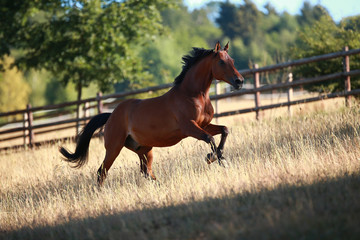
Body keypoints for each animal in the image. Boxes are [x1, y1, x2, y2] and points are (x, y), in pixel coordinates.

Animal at [59, 42, 245, 186]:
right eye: (221, 62)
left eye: (232, 60)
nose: (239, 81)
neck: (192, 95)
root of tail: (111, 115)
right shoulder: (190, 128)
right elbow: (210, 138)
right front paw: (215, 159)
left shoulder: (204, 125)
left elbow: (224, 130)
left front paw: (218, 157)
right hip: (114, 148)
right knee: (102, 171)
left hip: (144, 149)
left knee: (146, 172)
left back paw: (161, 186)